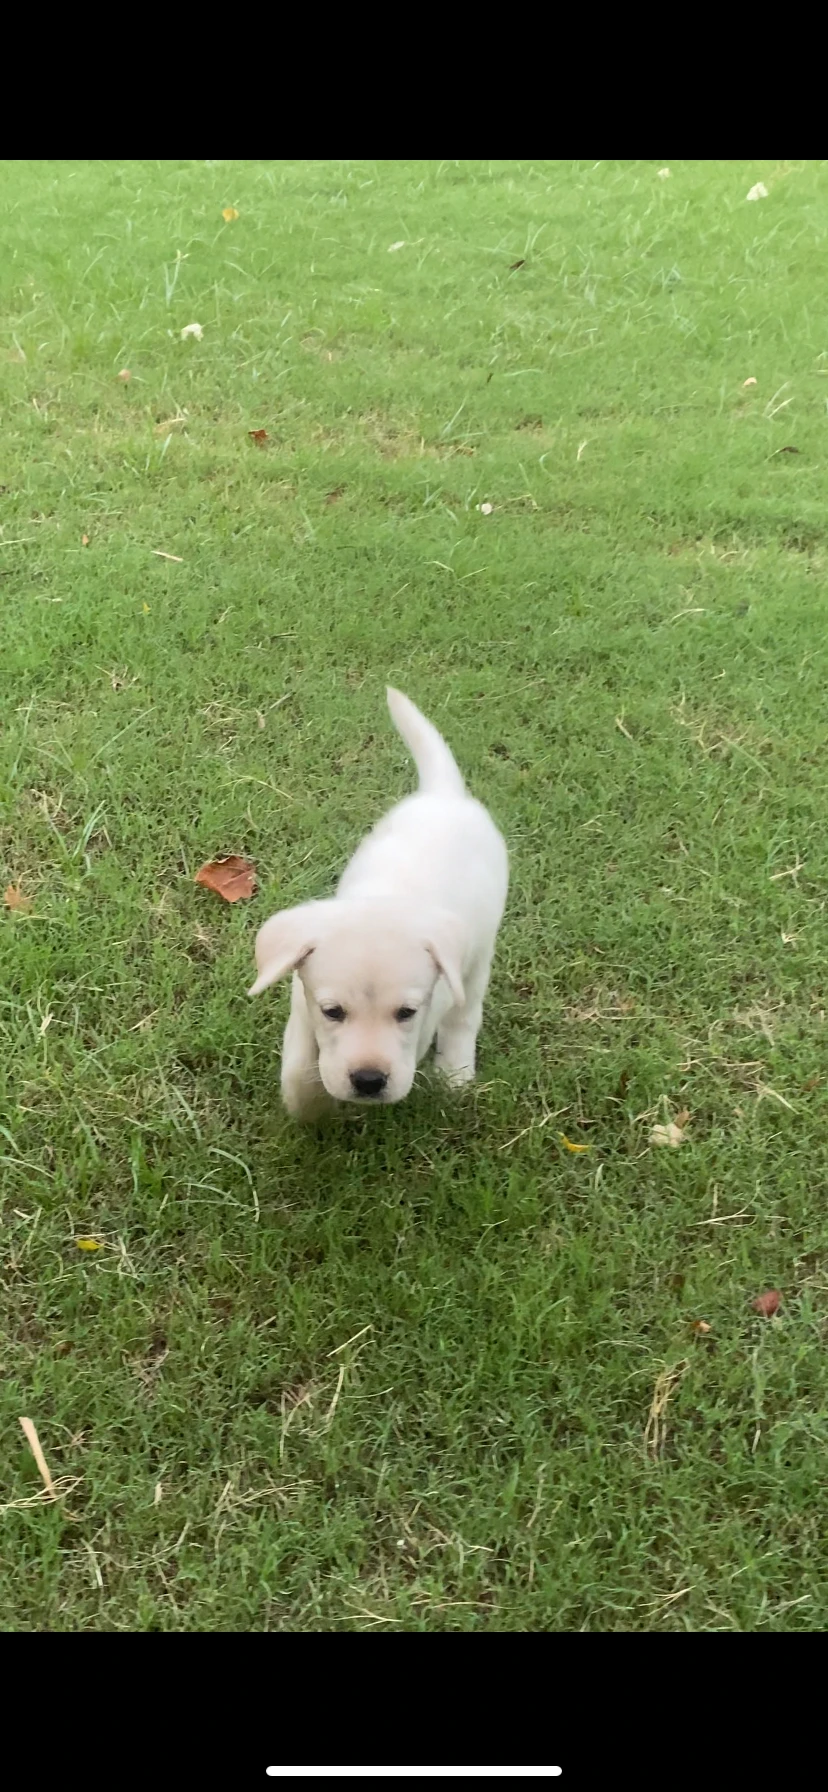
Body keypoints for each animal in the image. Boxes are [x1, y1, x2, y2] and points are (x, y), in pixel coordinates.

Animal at [249, 688, 508, 1118]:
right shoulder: (302, 1003)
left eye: (406, 1013)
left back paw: (455, 1073)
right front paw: (308, 1107)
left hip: (476, 960)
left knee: (464, 1015)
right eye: (333, 1011)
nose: (368, 1081)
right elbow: (301, 1067)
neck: (386, 901)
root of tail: (444, 793)